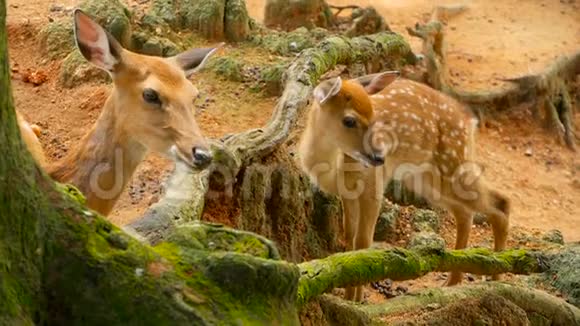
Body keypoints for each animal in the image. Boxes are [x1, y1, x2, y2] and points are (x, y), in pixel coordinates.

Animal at [302, 72, 510, 302]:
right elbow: (349, 239)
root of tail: (470, 122)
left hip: (453, 164)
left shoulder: (373, 186)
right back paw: (452, 283)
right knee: (466, 213)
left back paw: (497, 277)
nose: (379, 157)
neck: (333, 166)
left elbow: (363, 242)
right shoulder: (347, 195)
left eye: (374, 117)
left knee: (501, 203)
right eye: (349, 120)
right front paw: (349, 296)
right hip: (428, 179)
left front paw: (356, 300)